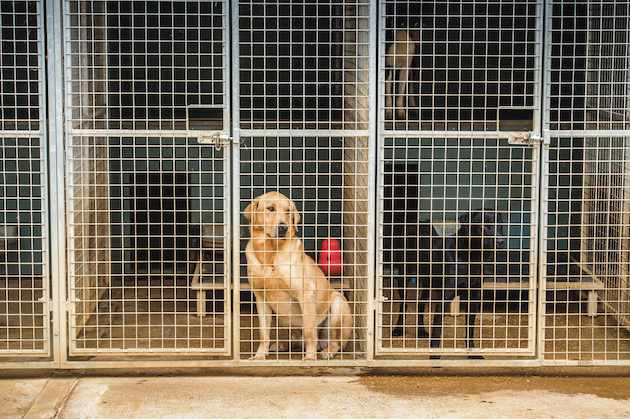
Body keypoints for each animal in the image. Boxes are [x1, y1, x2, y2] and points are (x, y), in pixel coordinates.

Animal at [244, 192, 354, 360]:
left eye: (288, 211)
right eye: (270, 208)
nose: (283, 227)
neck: (269, 252)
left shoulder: (306, 293)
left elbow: (309, 332)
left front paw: (310, 358)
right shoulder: (261, 298)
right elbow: (264, 333)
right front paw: (260, 355)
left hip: (338, 304)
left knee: (336, 343)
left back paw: (326, 351)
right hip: (284, 317)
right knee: (296, 339)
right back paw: (282, 345)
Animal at [390, 208, 508, 360]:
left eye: (499, 225)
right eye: (482, 225)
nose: (500, 241)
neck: (472, 257)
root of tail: (414, 222)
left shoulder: (474, 296)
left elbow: (470, 327)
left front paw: (472, 353)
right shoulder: (444, 296)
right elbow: (437, 329)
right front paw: (434, 356)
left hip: (427, 281)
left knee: (421, 304)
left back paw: (421, 330)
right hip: (404, 275)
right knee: (403, 304)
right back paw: (398, 328)